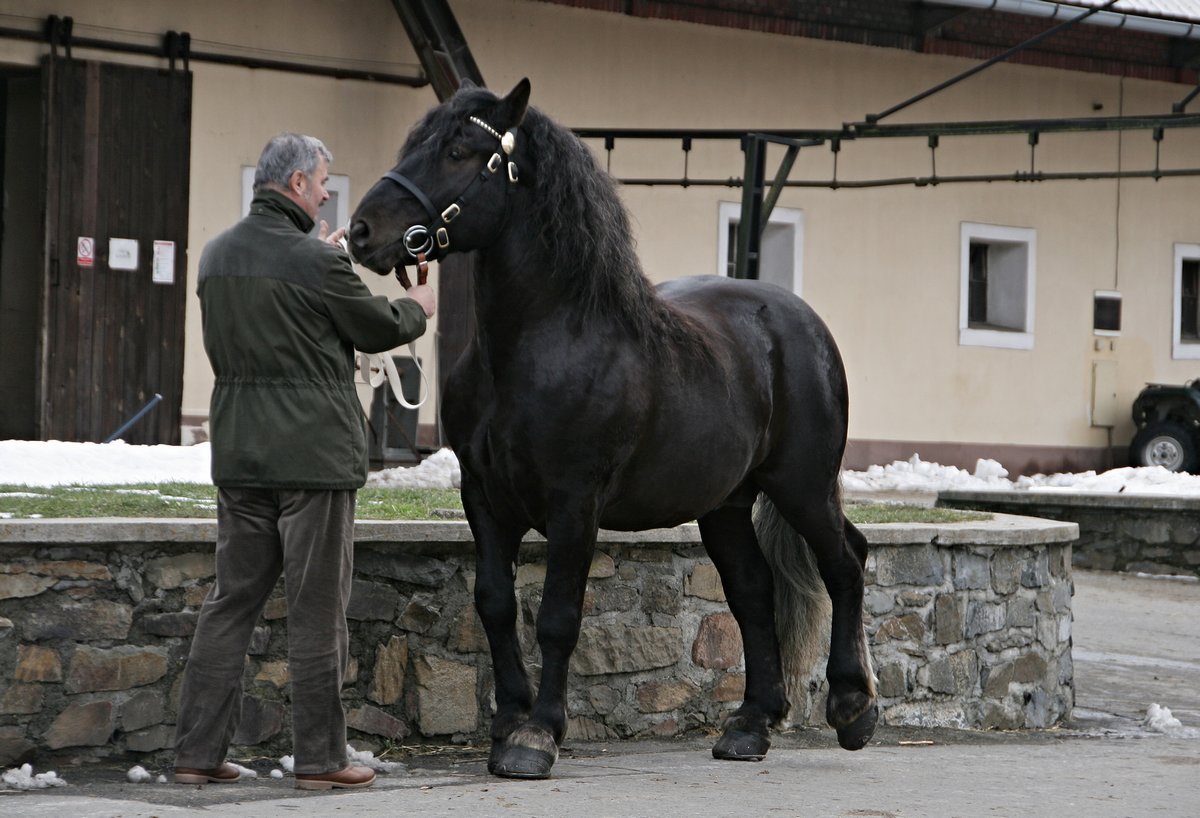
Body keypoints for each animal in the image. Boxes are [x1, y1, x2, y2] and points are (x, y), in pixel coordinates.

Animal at [348, 79, 873, 772]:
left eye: (460, 151)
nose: (361, 232)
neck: (535, 348)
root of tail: (801, 321)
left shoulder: (575, 501)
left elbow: (558, 617)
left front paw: (538, 736)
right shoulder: (482, 496)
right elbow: (495, 604)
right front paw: (508, 722)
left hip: (802, 485)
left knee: (844, 563)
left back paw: (853, 707)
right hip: (727, 504)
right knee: (754, 592)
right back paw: (749, 726)